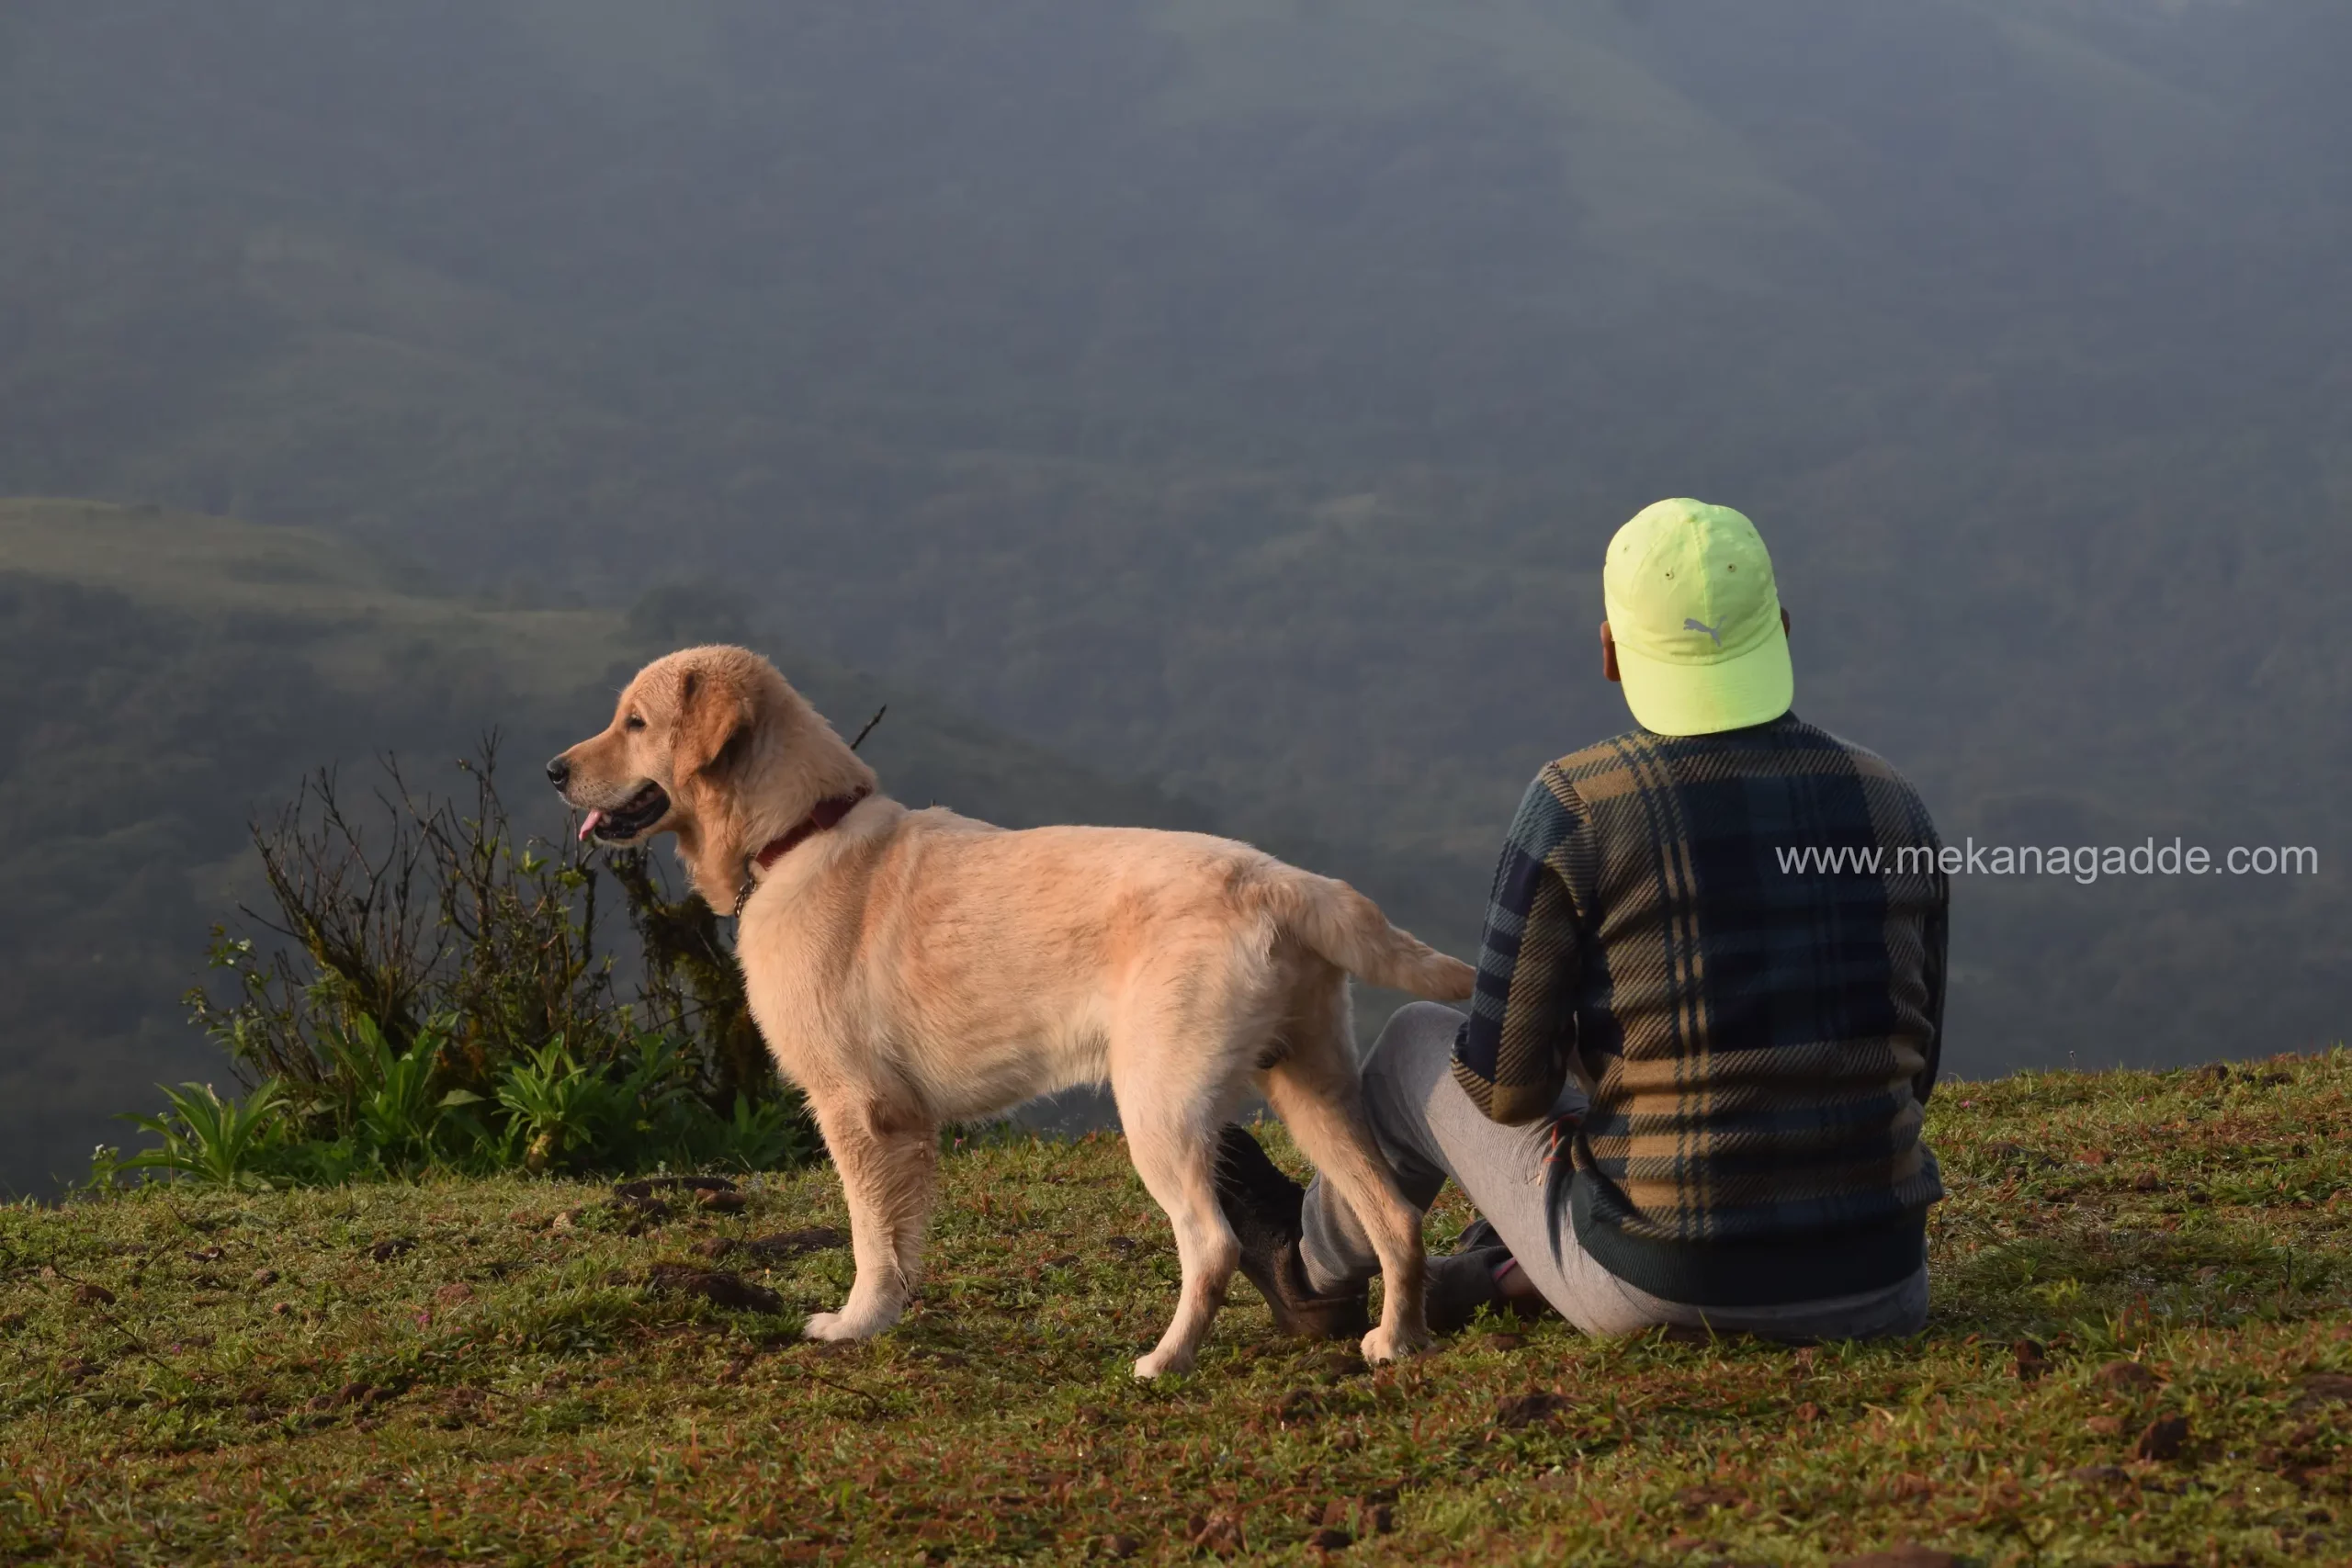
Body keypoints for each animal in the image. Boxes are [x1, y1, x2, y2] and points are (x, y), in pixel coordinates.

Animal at [550, 649, 1467, 1372]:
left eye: (635, 722)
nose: (554, 771)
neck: (797, 830)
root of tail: (1285, 882)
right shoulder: (904, 1123)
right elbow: (900, 1239)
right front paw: (886, 1318)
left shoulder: (852, 1107)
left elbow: (868, 1235)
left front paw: (852, 1324)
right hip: (1314, 1087)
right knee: (1394, 1217)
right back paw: (1399, 1340)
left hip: (1160, 1107)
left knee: (1212, 1243)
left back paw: (1166, 1359)